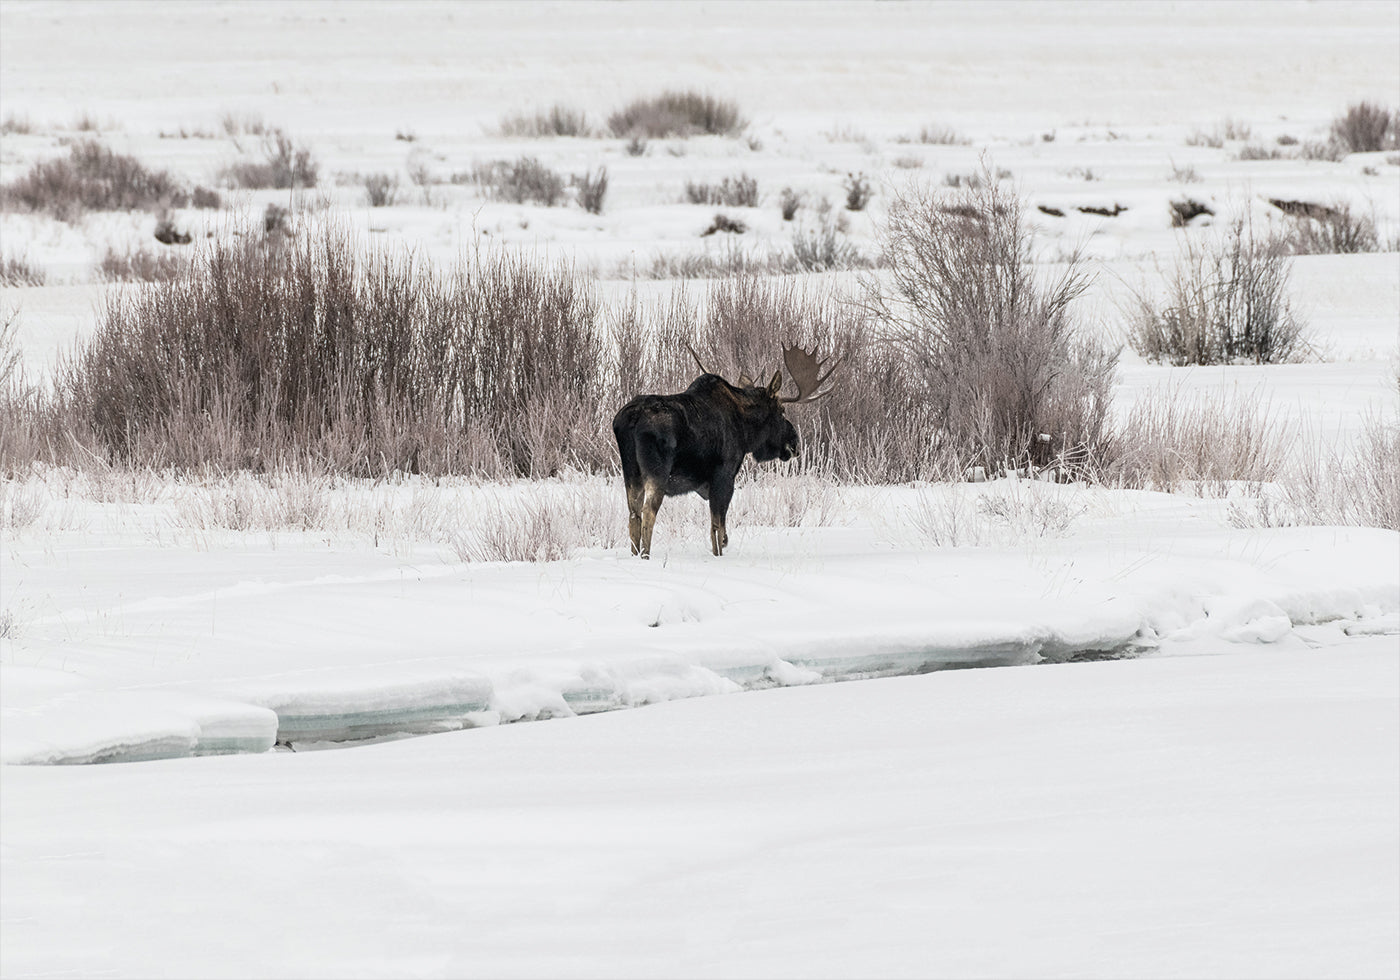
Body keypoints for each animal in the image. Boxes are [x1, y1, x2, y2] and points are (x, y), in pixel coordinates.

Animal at [612, 344, 838, 558]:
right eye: (782, 412)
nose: (794, 443)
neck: (746, 431)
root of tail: (630, 419)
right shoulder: (724, 474)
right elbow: (718, 526)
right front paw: (719, 553)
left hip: (631, 472)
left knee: (633, 515)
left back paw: (635, 554)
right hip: (657, 472)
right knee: (648, 512)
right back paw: (645, 556)